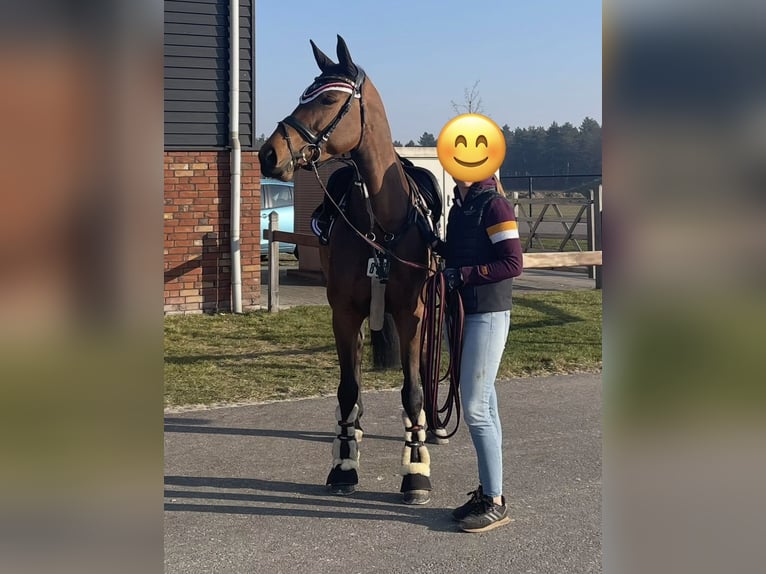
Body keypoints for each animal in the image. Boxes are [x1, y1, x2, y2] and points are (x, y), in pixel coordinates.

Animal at [258, 35, 440, 504]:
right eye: (303, 94)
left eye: (327, 98)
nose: (268, 153)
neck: (381, 222)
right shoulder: (343, 313)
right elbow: (347, 388)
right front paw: (344, 464)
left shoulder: (412, 315)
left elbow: (413, 390)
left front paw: (416, 470)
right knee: (353, 374)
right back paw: (352, 434)